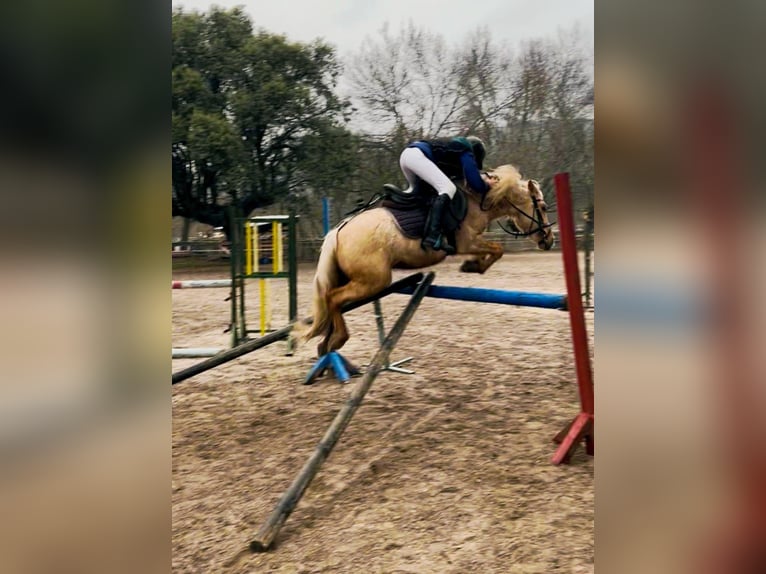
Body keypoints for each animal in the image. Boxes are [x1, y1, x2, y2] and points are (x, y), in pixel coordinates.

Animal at [301, 164, 555, 356]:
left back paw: (325, 343)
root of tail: (340, 231)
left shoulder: (471, 243)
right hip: (373, 281)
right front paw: (473, 266)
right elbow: (498, 249)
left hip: (353, 278)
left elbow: (493, 250)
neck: (479, 199)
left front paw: (472, 264)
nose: (549, 241)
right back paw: (337, 340)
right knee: (333, 298)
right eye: (542, 207)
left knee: (332, 300)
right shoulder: (465, 242)